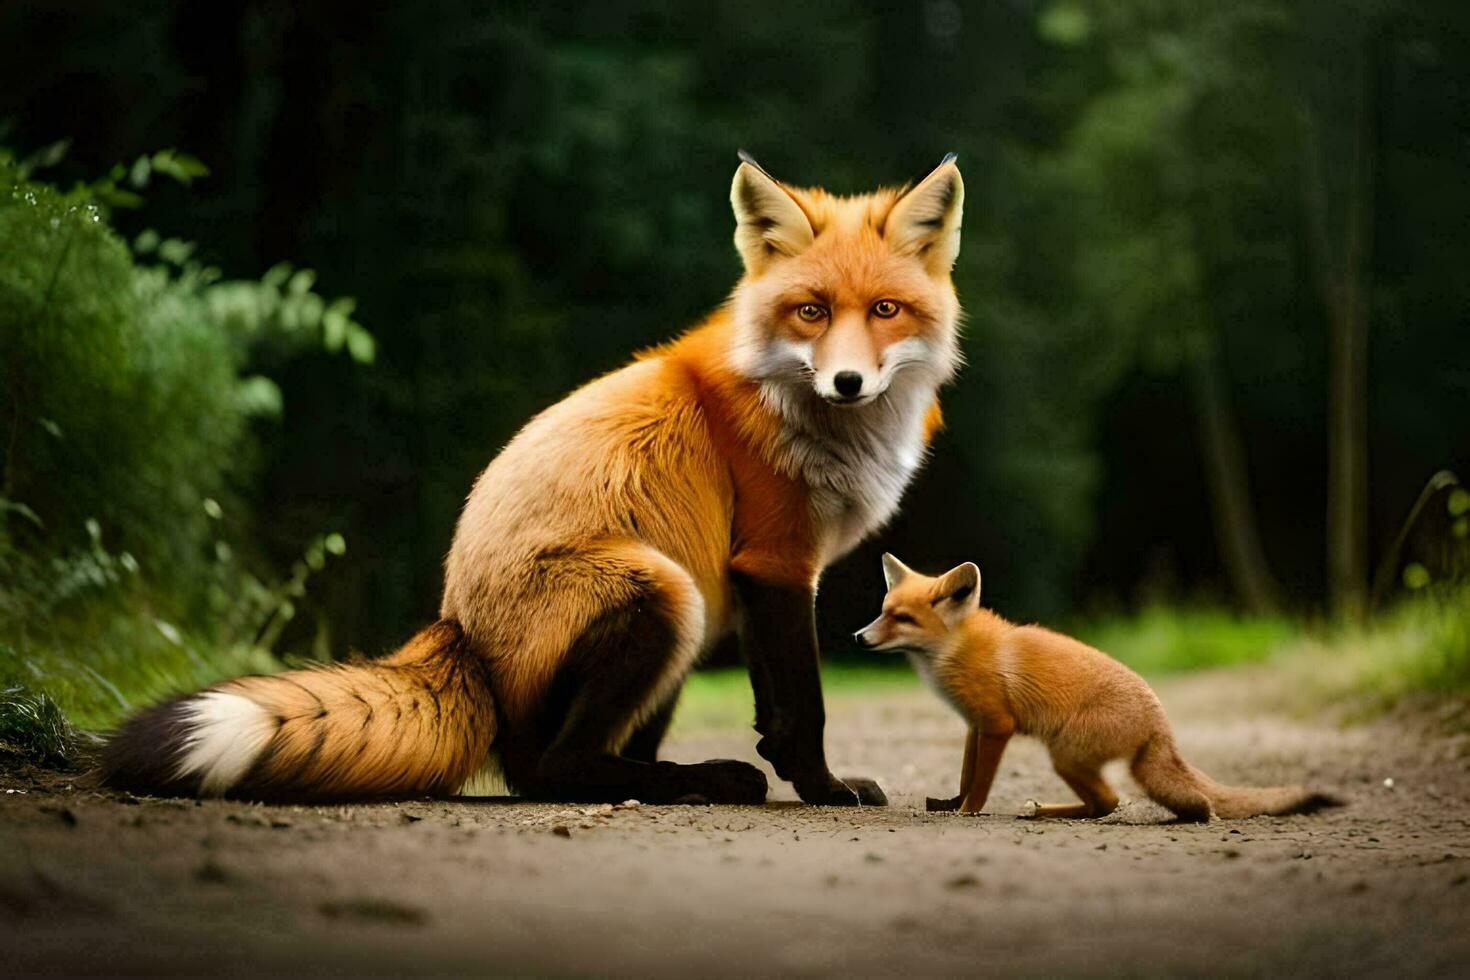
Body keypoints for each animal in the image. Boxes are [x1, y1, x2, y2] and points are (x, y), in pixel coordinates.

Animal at [103, 149, 964, 799]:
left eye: (884, 311)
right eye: (811, 312)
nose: (846, 382)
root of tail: (459, 630)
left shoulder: (758, 579)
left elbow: (778, 713)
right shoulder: (776, 560)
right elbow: (805, 709)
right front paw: (825, 790)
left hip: (690, 604)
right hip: (665, 592)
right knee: (550, 769)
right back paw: (704, 779)